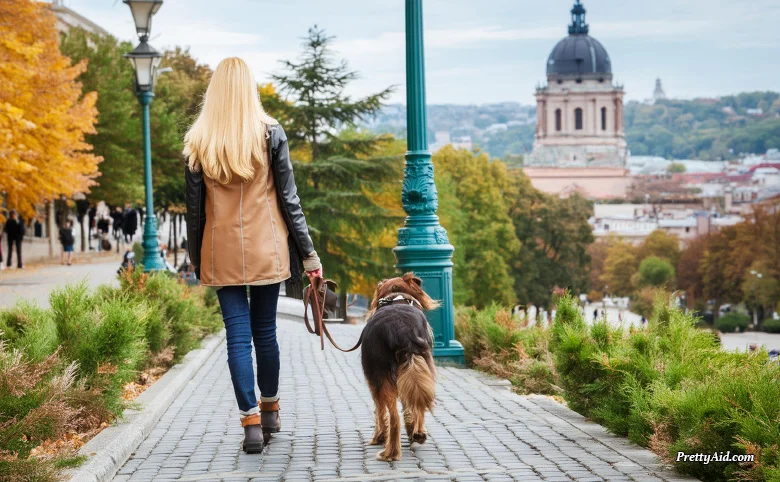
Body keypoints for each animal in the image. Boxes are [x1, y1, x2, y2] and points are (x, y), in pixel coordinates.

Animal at [362, 274, 438, 462]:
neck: (396, 298)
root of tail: (401, 330)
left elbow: (379, 412)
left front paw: (379, 436)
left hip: (383, 376)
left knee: (394, 414)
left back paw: (391, 450)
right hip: (420, 366)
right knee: (415, 404)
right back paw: (415, 435)